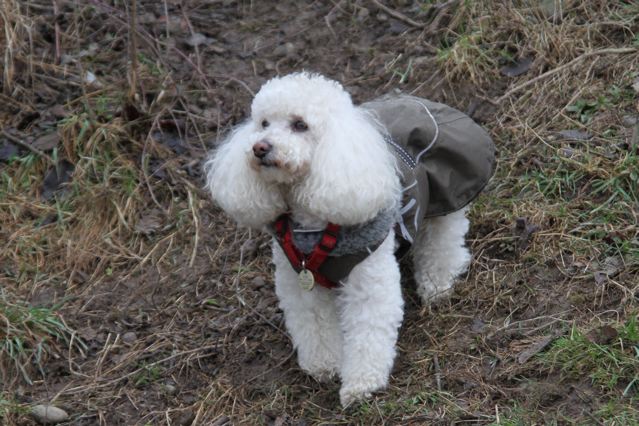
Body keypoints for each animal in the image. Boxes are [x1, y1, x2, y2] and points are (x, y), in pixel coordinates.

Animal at [205, 72, 494, 406]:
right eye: (263, 123)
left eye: (300, 125)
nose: (259, 148)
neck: (314, 229)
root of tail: (419, 100)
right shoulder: (300, 283)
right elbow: (314, 324)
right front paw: (324, 365)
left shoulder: (368, 280)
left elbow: (367, 331)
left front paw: (361, 384)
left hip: (445, 193)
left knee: (444, 237)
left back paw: (438, 283)